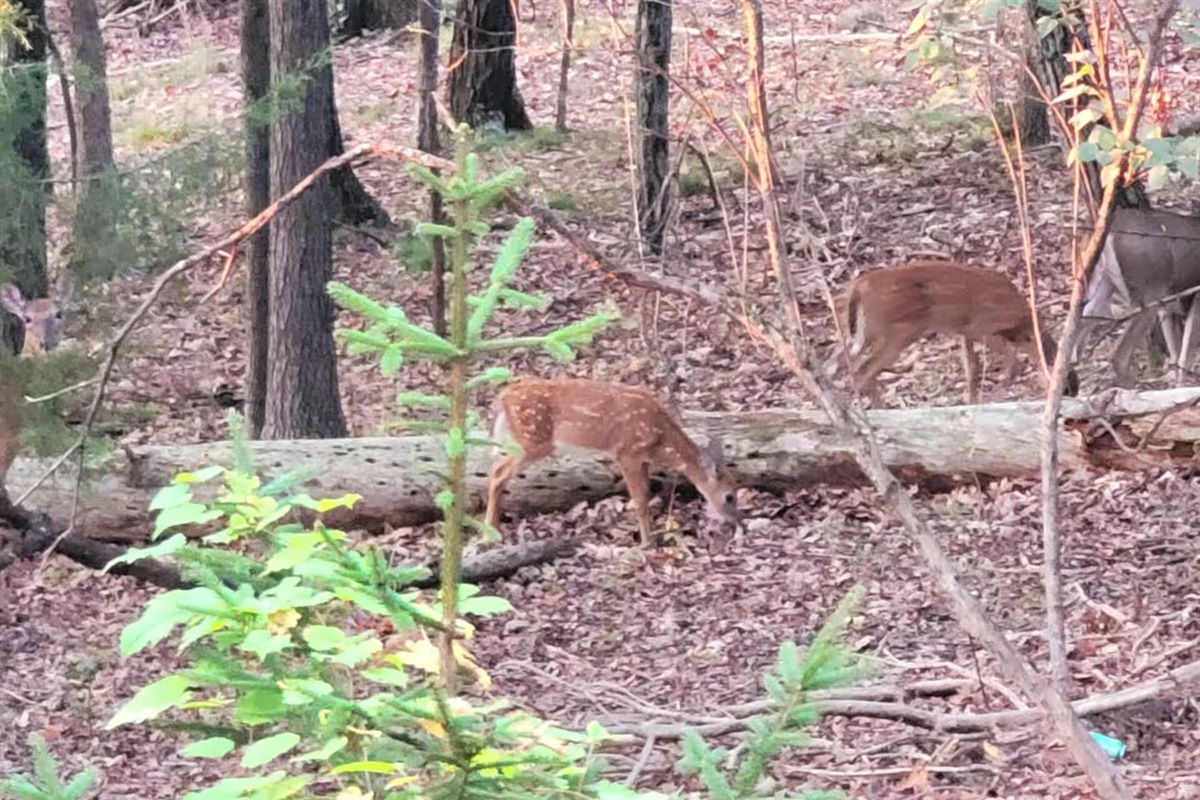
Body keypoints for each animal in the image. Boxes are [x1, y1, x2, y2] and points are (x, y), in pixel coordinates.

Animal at [484, 378, 741, 547]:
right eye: (729, 496)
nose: (735, 521)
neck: (660, 438)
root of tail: (502, 398)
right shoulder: (626, 453)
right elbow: (640, 500)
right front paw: (647, 543)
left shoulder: (642, 459)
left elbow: (645, 494)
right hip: (534, 441)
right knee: (497, 471)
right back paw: (490, 531)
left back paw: (495, 529)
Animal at [833, 259, 1078, 405]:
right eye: (1066, 383)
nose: (1072, 393)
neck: (1023, 321)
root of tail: (858, 287)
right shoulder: (981, 326)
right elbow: (1013, 360)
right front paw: (1000, 390)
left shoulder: (964, 332)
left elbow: (972, 369)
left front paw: (970, 402)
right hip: (899, 331)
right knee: (862, 370)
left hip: (863, 332)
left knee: (838, 363)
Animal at [1074, 207, 1200, 387]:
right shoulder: (1195, 298)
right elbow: (1186, 351)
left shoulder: (1170, 306)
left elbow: (1175, 350)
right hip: (1150, 291)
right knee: (1118, 354)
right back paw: (1135, 384)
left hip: (1102, 281)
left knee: (1084, 316)